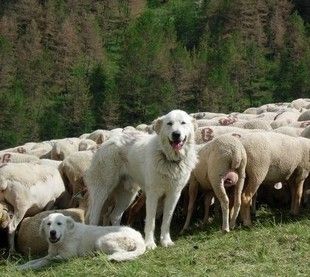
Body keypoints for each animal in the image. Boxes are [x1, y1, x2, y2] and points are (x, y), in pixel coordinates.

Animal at [17, 212, 146, 268]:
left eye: (59, 224)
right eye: (48, 224)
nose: (52, 232)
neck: (63, 239)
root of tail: (140, 238)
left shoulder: (68, 255)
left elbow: (45, 261)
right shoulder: (50, 254)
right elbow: (34, 261)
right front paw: (21, 266)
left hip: (101, 241)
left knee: (119, 253)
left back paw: (98, 258)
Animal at [85, 108, 197, 248]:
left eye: (183, 123)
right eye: (169, 123)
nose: (176, 134)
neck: (168, 159)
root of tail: (107, 142)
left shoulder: (174, 194)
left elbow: (167, 220)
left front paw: (166, 241)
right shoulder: (153, 194)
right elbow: (151, 221)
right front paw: (149, 244)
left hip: (127, 195)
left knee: (114, 216)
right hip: (102, 190)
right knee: (94, 216)